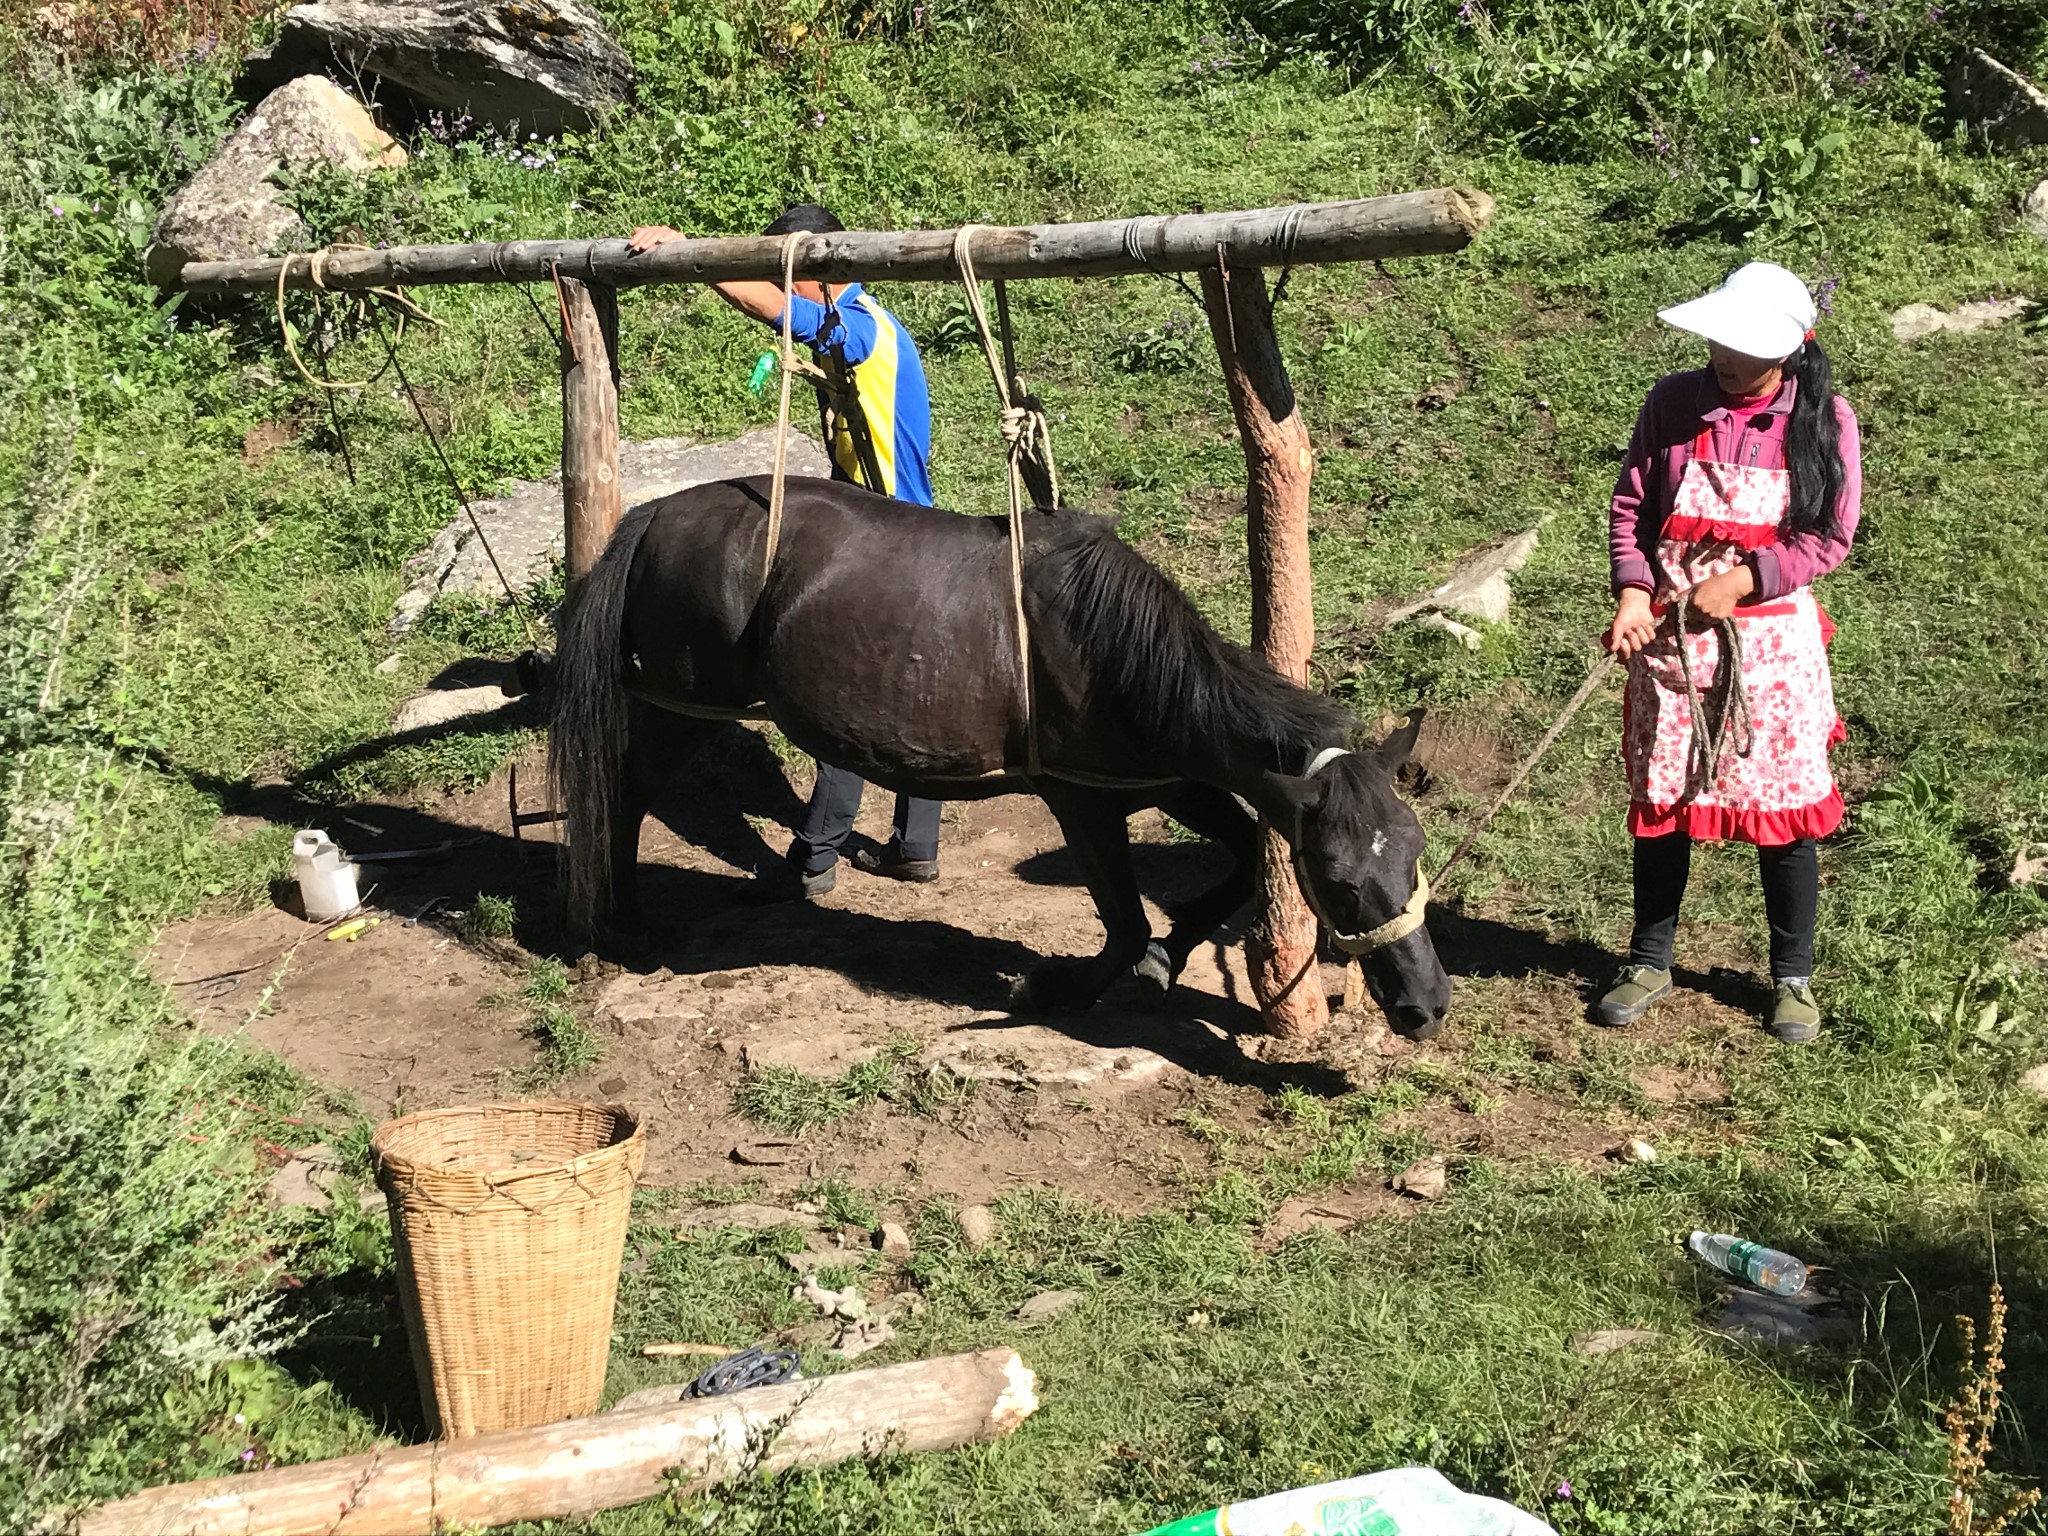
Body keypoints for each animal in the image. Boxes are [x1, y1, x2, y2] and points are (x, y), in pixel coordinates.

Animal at [552, 475, 1449, 1040]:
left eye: (1414, 852)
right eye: (1337, 881)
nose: (1428, 1005)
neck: (1113, 652)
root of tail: (660, 512)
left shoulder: (1169, 777)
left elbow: (1228, 870)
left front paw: (1170, 952)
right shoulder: (1082, 796)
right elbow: (1123, 923)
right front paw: (1067, 984)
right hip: (681, 708)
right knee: (624, 793)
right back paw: (623, 922)